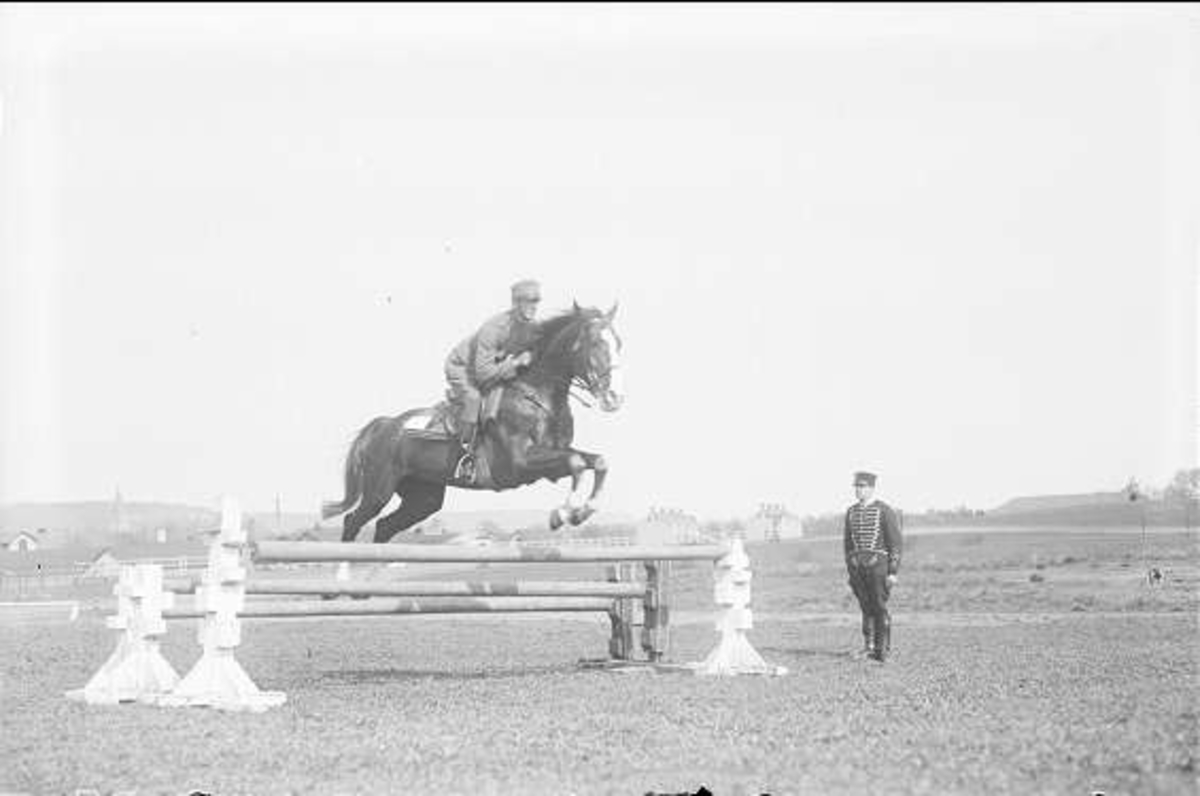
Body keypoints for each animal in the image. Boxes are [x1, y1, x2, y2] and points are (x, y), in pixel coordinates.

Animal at [321, 303, 625, 543]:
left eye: (619, 344)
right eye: (596, 343)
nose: (614, 398)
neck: (537, 394)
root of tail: (383, 426)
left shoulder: (551, 461)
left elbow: (595, 461)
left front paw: (581, 513)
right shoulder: (520, 464)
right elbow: (576, 463)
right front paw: (560, 515)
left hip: (423, 496)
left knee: (385, 526)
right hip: (379, 489)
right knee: (353, 521)